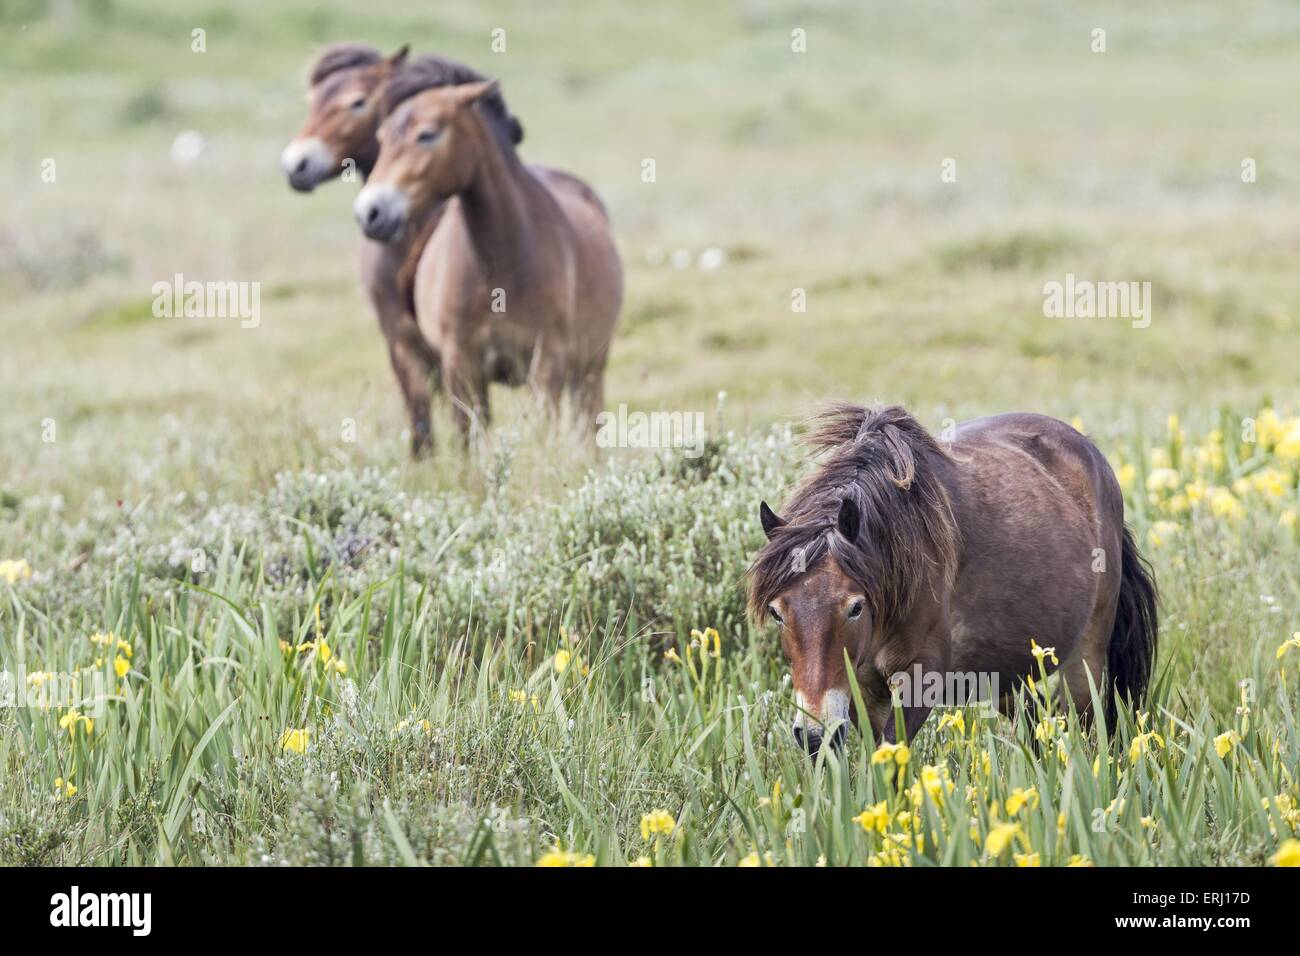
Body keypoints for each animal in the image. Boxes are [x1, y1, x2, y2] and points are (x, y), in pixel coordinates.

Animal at [353, 74, 621, 442]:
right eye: (381, 139)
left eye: (427, 134)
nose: (370, 212)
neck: (497, 264)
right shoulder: (461, 367)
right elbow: (469, 440)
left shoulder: (545, 364)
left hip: (590, 367)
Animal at [748, 403, 1164, 754]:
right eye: (778, 612)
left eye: (854, 607)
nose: (814, 734)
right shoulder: (864, 688)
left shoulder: (921, 676)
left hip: (1087, 660)